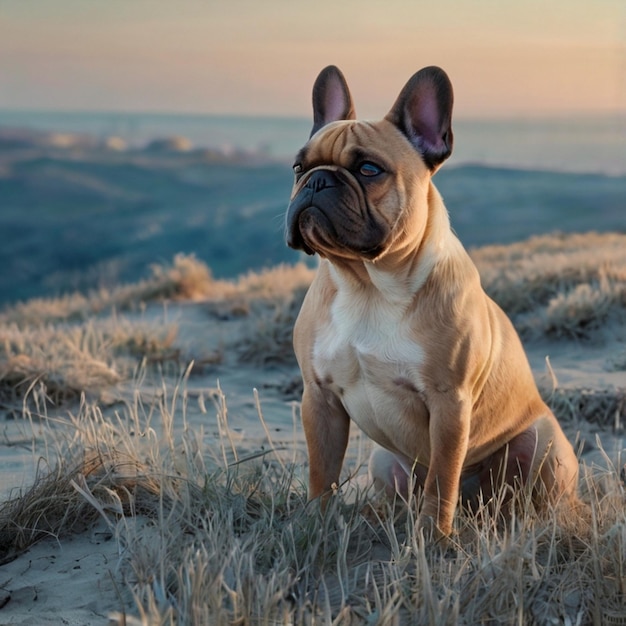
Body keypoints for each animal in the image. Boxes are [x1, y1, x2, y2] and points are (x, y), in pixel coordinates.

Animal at [286, 66, 576, 540]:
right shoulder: (319, 397)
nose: (317, 180)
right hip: (382, 459)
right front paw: (314, 524)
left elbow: (443, 476)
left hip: (542, 444)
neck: (368, 285)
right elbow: (321, 471)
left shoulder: (449, 403)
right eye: (298, 167)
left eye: (369, 169)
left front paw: (432, 537)